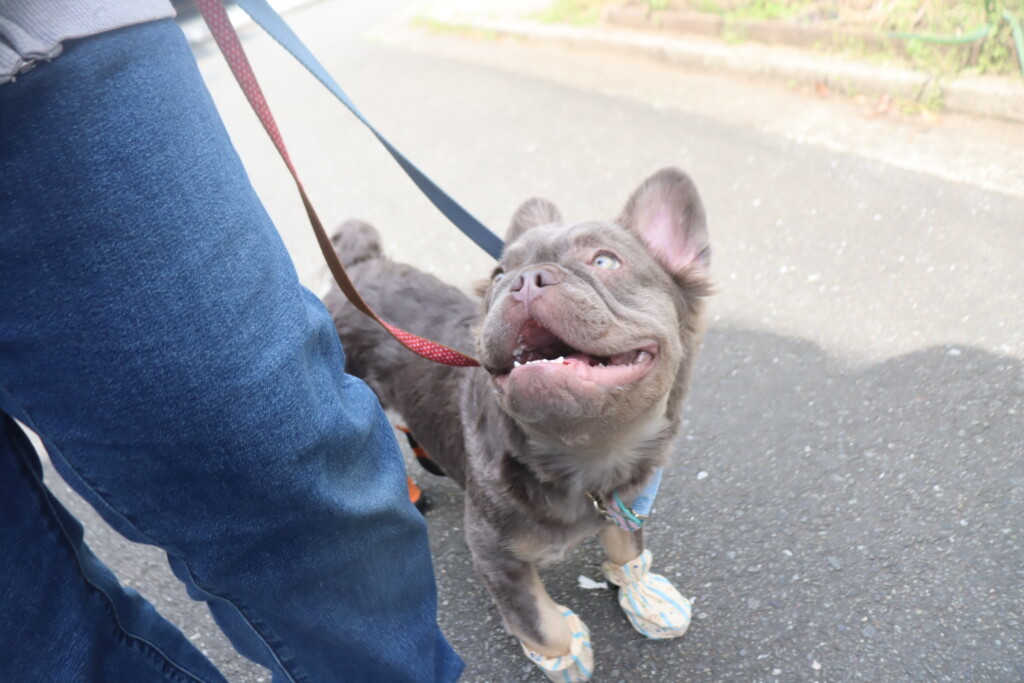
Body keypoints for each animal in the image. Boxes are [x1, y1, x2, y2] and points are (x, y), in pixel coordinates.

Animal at [323, 167, 711, 681]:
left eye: (604, 261)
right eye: (498, 275)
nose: (525, 280)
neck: (587, 456)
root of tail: (361, 265)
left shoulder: (625, 501)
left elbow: (627, 549)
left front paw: (640, 591)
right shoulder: (494, 555)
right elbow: (542, 624)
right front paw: (566, 656)